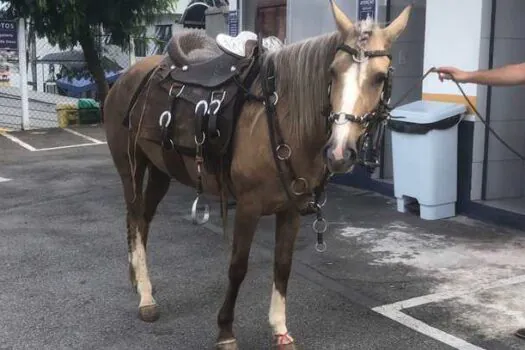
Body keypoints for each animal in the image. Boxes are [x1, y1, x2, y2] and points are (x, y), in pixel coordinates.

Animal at [102, 1, 412, 348]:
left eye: (380, 77)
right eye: (333, 71)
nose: (338, 153)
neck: (280, 118)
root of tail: (127, 77)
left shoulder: (291, 210)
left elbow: (283, 265)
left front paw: (279, 329)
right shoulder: (248, 207)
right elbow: (238, 266)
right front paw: (225, 330)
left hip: (160, 170)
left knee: (142, 220)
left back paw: (139, 282)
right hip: (130, 166)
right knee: (133, 218)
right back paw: (145, 297)